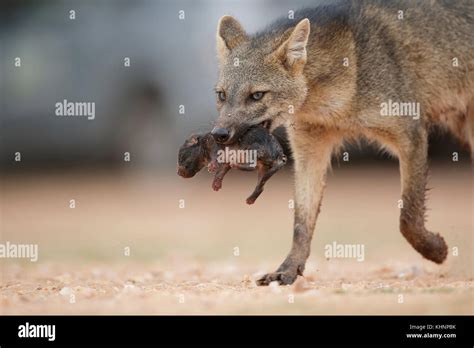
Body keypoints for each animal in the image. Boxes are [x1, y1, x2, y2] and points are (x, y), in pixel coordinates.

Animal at [210, 0, 474, 286]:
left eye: (257, 95)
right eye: (221, 95)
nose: (219, 134)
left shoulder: (411, 133)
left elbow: (408, 216)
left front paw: (436, 250)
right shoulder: (309, 152)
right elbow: (301, 222)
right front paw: (288, 269)